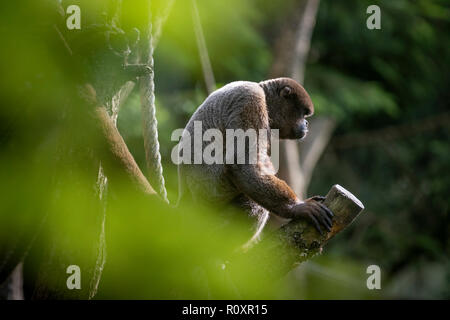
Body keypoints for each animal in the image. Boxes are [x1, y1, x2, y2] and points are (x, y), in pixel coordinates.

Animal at [178, 77, 332, 248]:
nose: (306, 124)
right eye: (303, 113)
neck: (264, 94)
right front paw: (297, 207)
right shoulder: (250, 99)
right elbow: (242, 162)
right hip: (212, 192)